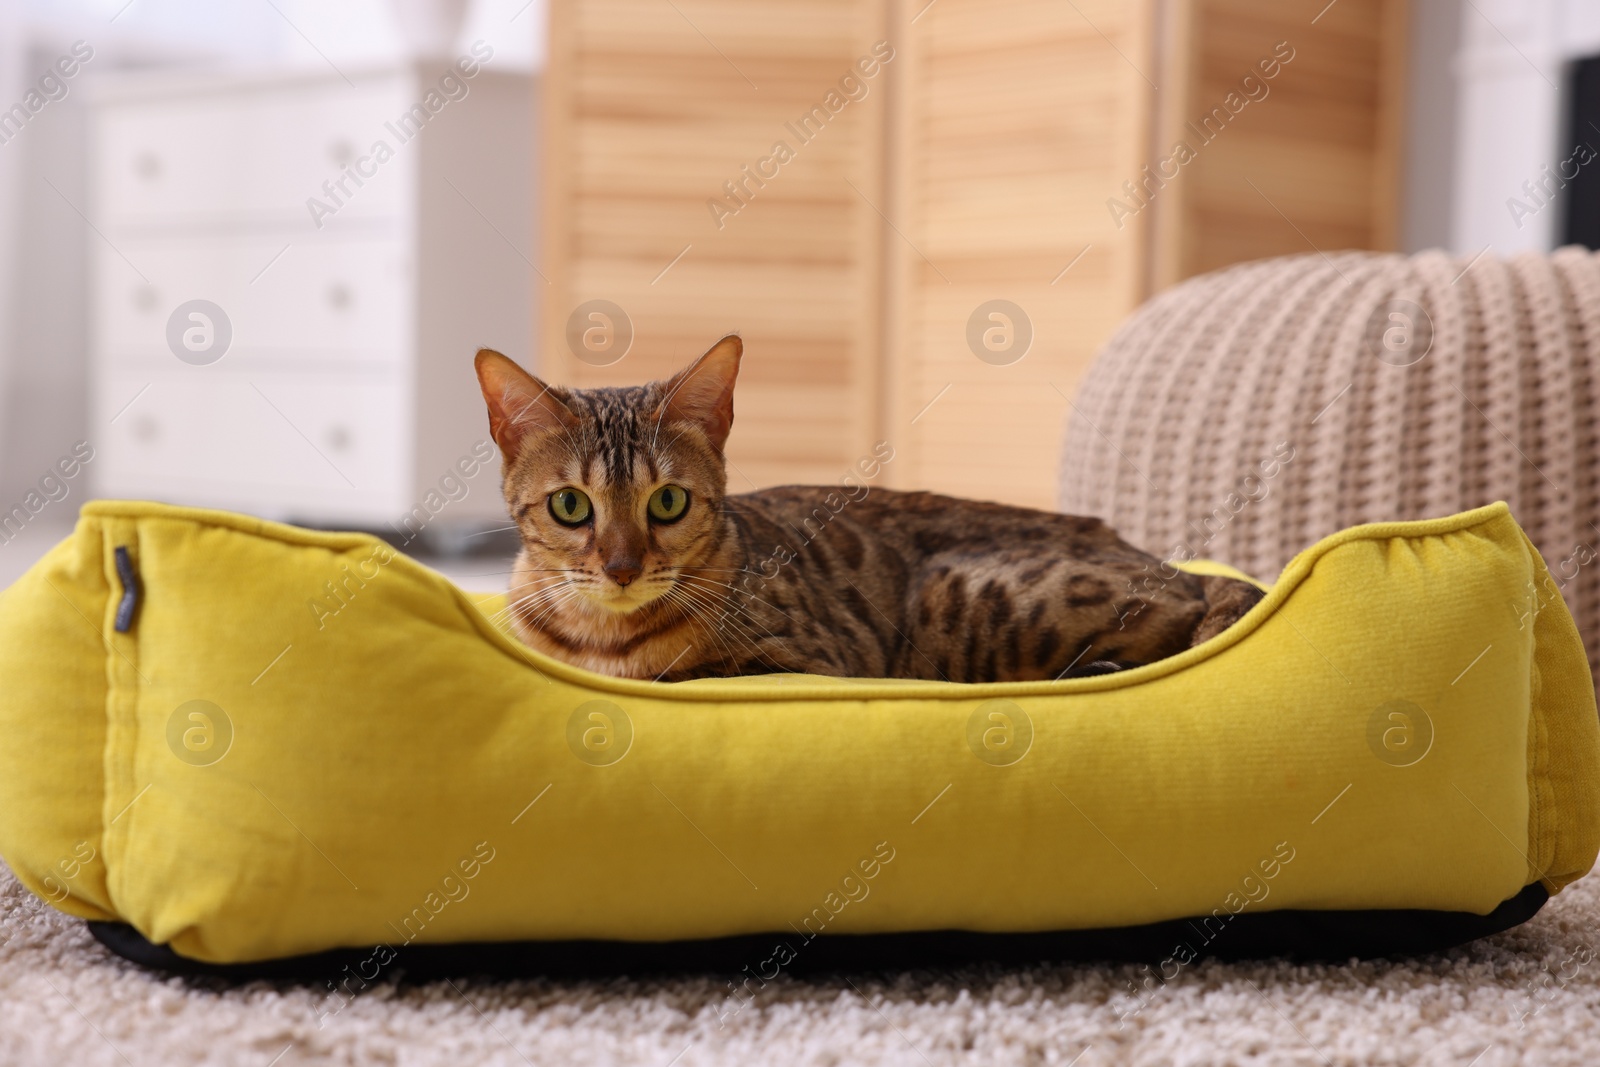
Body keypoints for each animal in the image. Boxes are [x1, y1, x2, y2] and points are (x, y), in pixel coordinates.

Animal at [470, 335, 1260, 684]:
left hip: (971, 596)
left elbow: (687, 675)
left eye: (666, 500)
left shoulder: (798, 663)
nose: (623, 567)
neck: (603, 640)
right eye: (571, 505)